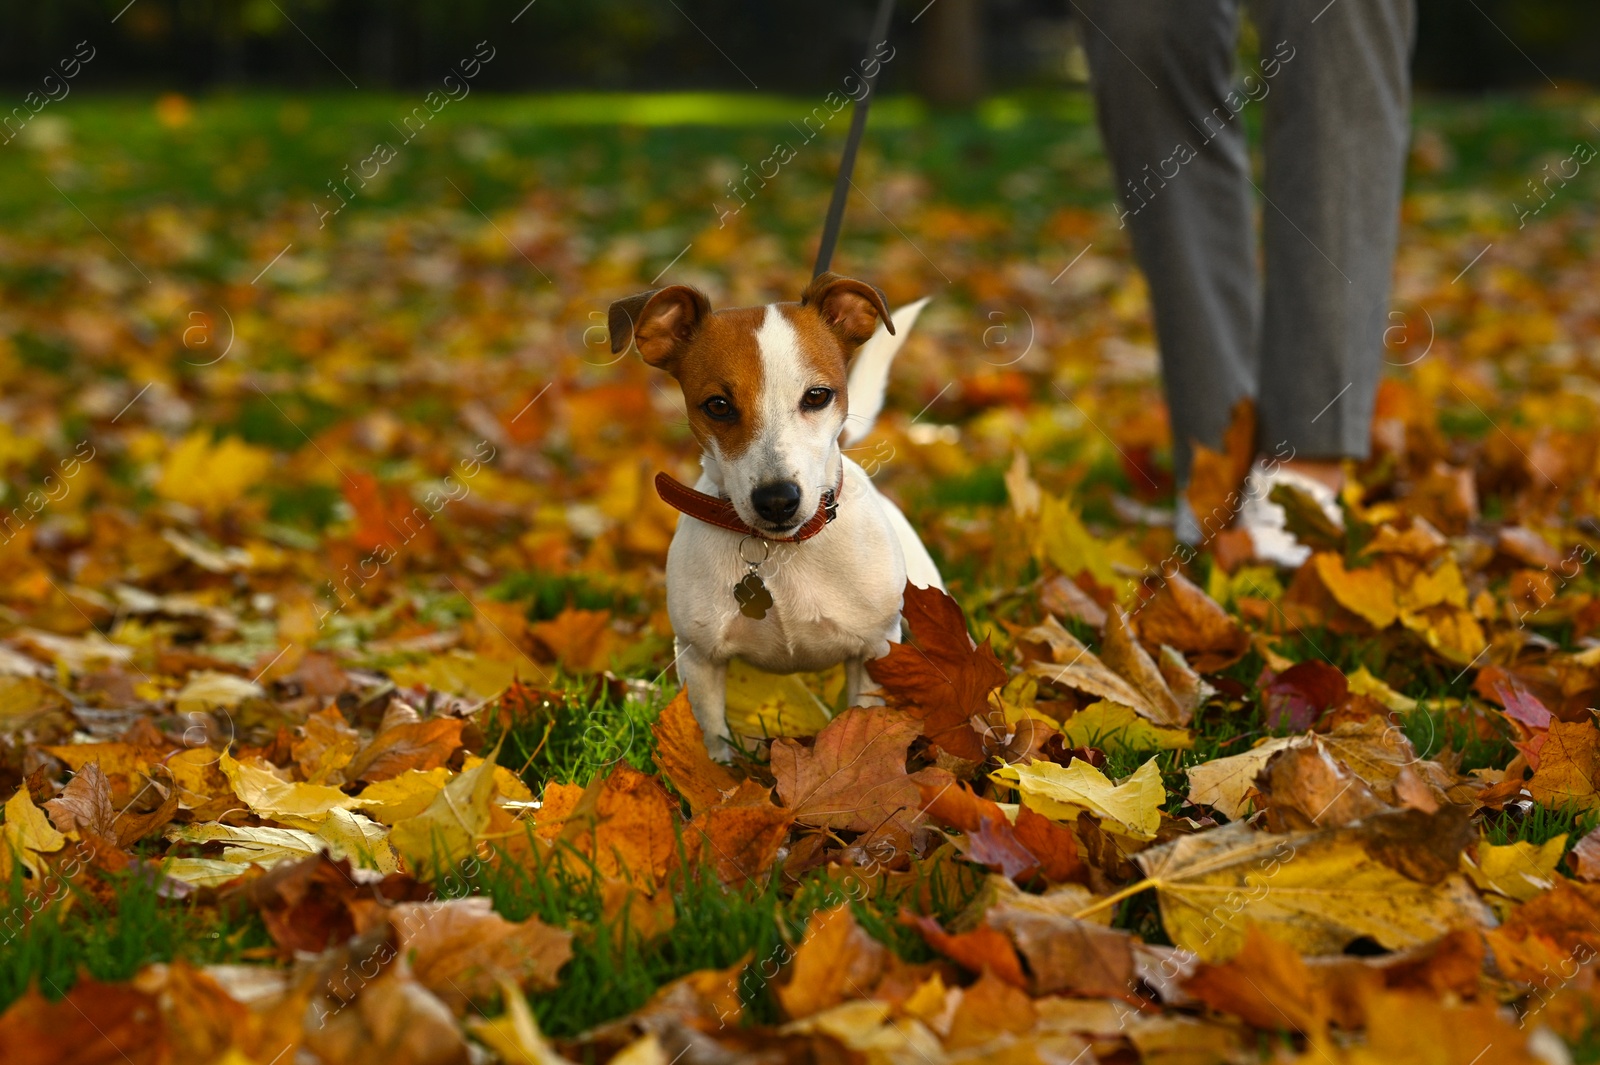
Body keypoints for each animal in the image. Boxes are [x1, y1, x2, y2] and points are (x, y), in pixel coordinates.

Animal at [604, 270, 940, 757]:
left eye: (817, 396)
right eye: (718, 405)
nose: (778, 499)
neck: (781, 550)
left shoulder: (875, 651)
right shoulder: (699, 658)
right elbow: (713, 738)